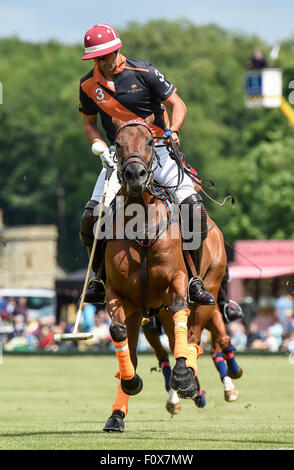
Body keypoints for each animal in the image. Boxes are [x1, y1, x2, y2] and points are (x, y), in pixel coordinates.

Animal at [102, 118, 201, 434]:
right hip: (138, 313)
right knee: (131, 349)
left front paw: (182, 375)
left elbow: (181, 309)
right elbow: (118, 334)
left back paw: (190, 382)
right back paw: (116, 415)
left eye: (149, 141)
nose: (135, 174)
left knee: (192, 339)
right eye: (117, 143)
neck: (142, 221)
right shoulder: (117, 293)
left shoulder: (177, 280)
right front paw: (131, 381)